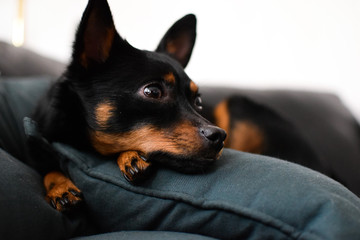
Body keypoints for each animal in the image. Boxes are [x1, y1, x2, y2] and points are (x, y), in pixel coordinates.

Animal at [31, 0, 228, 211]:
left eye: (198, 101)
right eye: (153, 92)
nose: (220, 135)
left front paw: (129, 156)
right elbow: (46, 168)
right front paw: (59, 187)